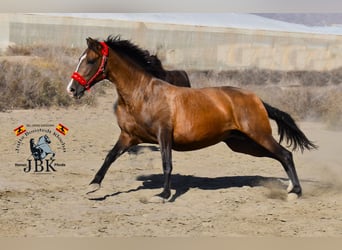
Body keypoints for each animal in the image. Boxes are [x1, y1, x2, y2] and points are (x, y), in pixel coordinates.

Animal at [67, 35, 318, 201]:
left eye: (90, 60)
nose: (71, 89)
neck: (142, 94)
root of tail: (257, 99)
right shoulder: (128, 136)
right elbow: (110, 156)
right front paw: (92, 186)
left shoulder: (164, 134)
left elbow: (166, 163)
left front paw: (164, 194)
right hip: (242, 143)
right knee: (280, 156)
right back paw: (289, 187)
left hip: (258, 135)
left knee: (285, 154)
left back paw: (295, 192)